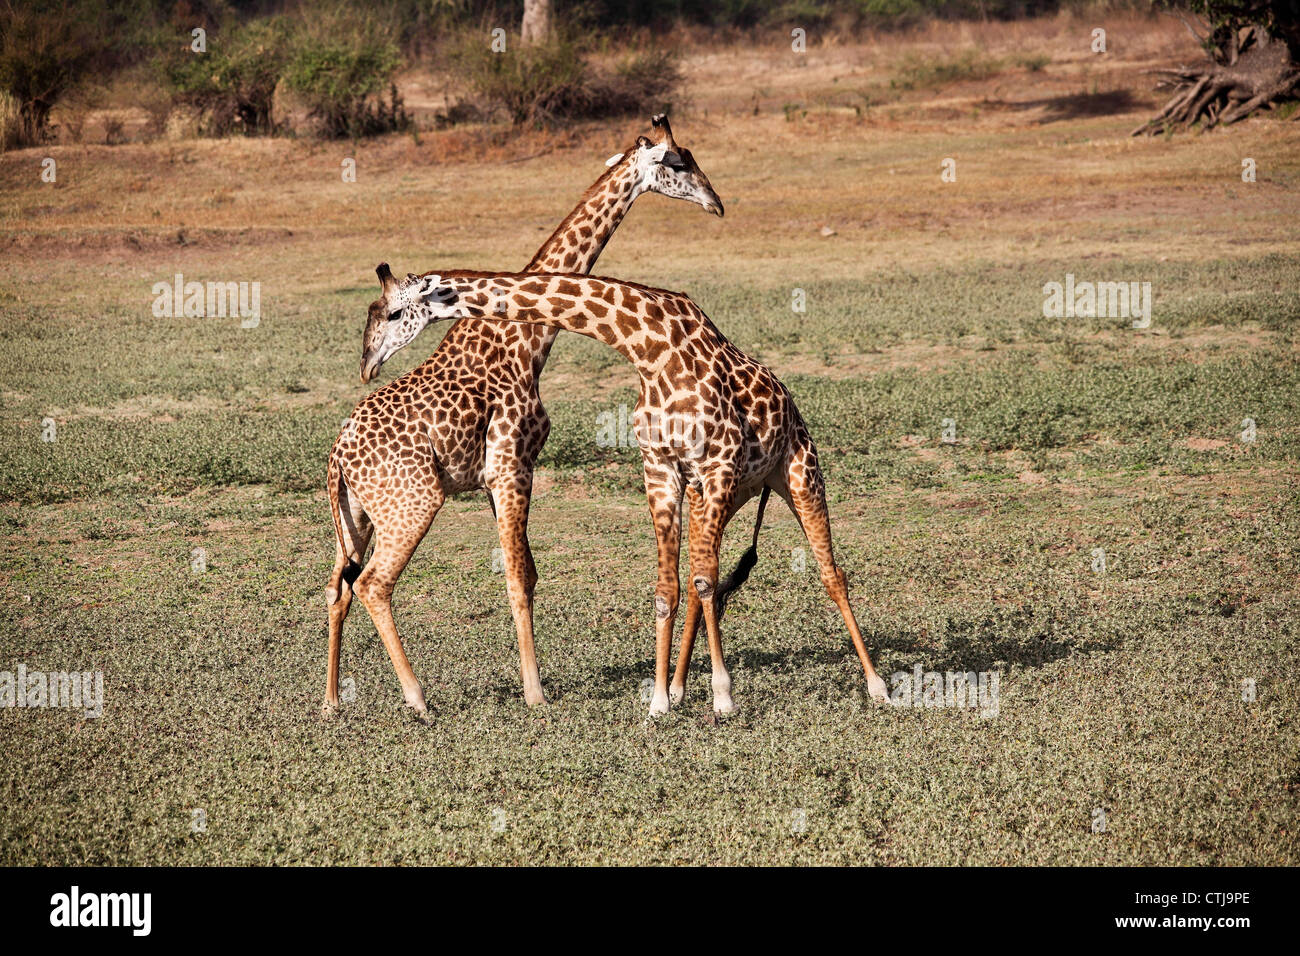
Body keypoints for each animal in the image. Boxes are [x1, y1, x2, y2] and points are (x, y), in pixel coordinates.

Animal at [322, 115, 722, 712]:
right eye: (678, 163)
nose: (715, 203)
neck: (531, 339)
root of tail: (336, 458)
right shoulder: (512, 465)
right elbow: (516, 575)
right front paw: (535, 693)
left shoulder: (499, 477)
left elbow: (528, 572)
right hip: (414, 502)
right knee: (372, 583)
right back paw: (418, 700)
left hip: (360, 514)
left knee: (337, 586)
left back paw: (331, 701)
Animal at [361, 265, 899, 712]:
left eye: (392, 312)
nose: (367, 364)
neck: (647, 347)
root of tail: (789, 403)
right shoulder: (661, 468)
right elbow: (670, 588)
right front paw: (660, 700)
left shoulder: (717, 463)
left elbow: (703, 582)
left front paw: (722, 697)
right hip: (722, 492)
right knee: (705, 580)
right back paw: (681, 686)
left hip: (797, 472)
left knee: (829, 574)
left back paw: (877, 686)